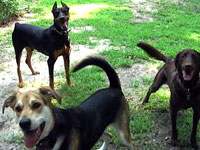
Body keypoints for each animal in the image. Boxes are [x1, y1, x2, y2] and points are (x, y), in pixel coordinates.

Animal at [2, 56, 134, 150]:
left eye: (36, 105)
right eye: (17, 109)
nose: (24, 123)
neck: (53, 132)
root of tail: (114, 87)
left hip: (123, 135)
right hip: (97, 129)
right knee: (109, 136)